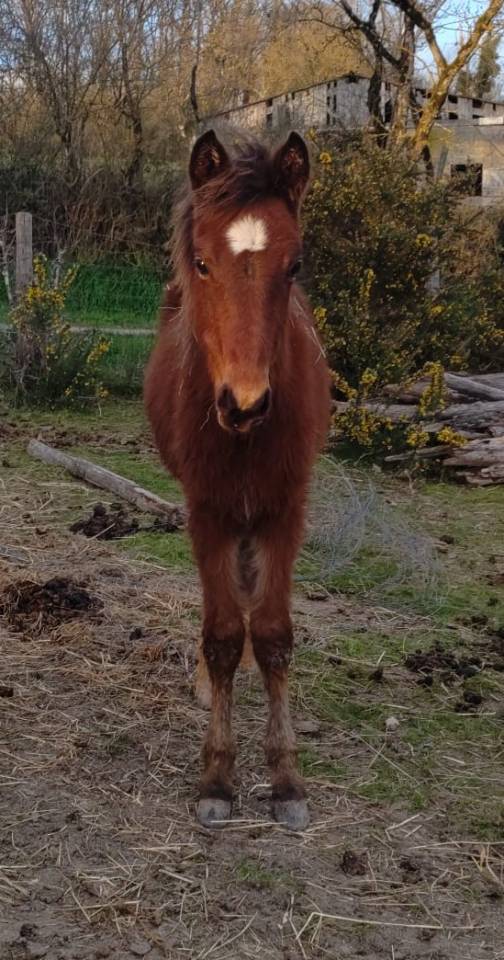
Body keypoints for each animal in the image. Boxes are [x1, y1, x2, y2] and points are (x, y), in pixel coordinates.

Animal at [144, 129, 331, 830]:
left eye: (295, 266)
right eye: (202, 263)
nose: (245, 404)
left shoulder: (284, 510)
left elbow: (273, 636)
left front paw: (285, 780)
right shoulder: (210, 511)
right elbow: (223, 634)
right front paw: (218, 778)